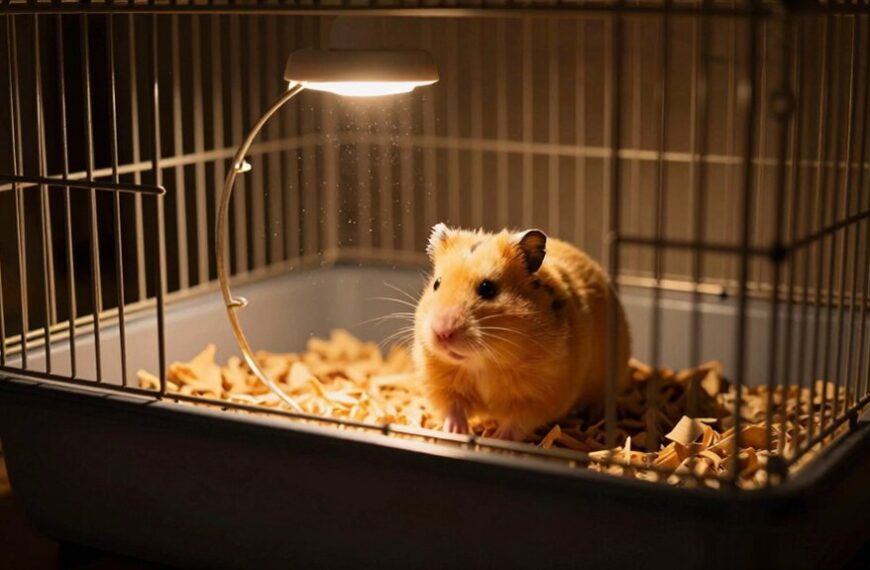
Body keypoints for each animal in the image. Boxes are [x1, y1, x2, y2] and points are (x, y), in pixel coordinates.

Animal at [413, 224, 632, 441]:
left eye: (487, 288)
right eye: (436, 284)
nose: (442, 332)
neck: (482, 362)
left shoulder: (540, 395)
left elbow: (516, 421)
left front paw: (498, 437)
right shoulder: (440, 383)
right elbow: (453, 409)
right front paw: (454, 432)